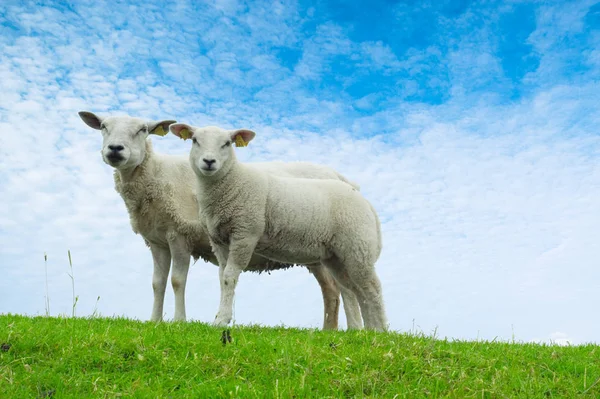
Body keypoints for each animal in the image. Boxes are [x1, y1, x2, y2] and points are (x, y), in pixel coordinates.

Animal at [77, 111, 364, 330]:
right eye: (103, 127)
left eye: (143, 130)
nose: (115, 149)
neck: (156, 174)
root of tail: (344, 179)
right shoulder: (156, 241)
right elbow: (157, 283)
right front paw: (155, 321)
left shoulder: (180, 233)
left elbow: (177, 280)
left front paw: (179, 321)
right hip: (316, 253)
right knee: (331, 290)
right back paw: (328, 330)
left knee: (342, 289)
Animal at [171, 123, 392, 332]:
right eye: (195, 140)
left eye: (227, 143)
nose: (209, 162)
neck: (231, 182)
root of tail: (364, 200)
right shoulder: (219, 240)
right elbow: (222, 278)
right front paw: (220, 316)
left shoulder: (245, 233)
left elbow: (230, 277)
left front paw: (221, 320)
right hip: (336, 256)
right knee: (356, 289)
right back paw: (368, 331)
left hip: (357, 247)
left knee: (372, 288)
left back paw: (381, 330)